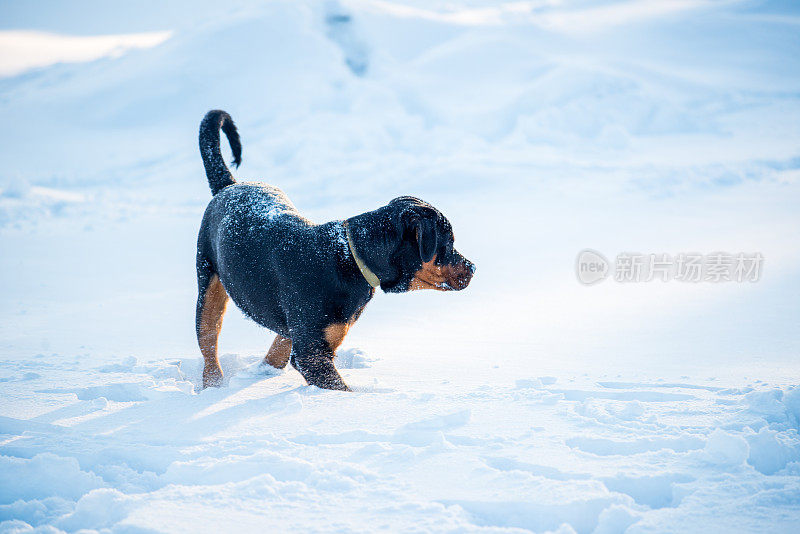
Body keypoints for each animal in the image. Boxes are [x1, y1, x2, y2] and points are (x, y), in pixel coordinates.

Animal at [195, 111, 476, 392]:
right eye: (448, 243)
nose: (473, 267)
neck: (348, 257)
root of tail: (229, 186)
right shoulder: (312, 354)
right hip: (208, 284)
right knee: (208, 339)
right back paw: (213, 385)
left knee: (275, 349)